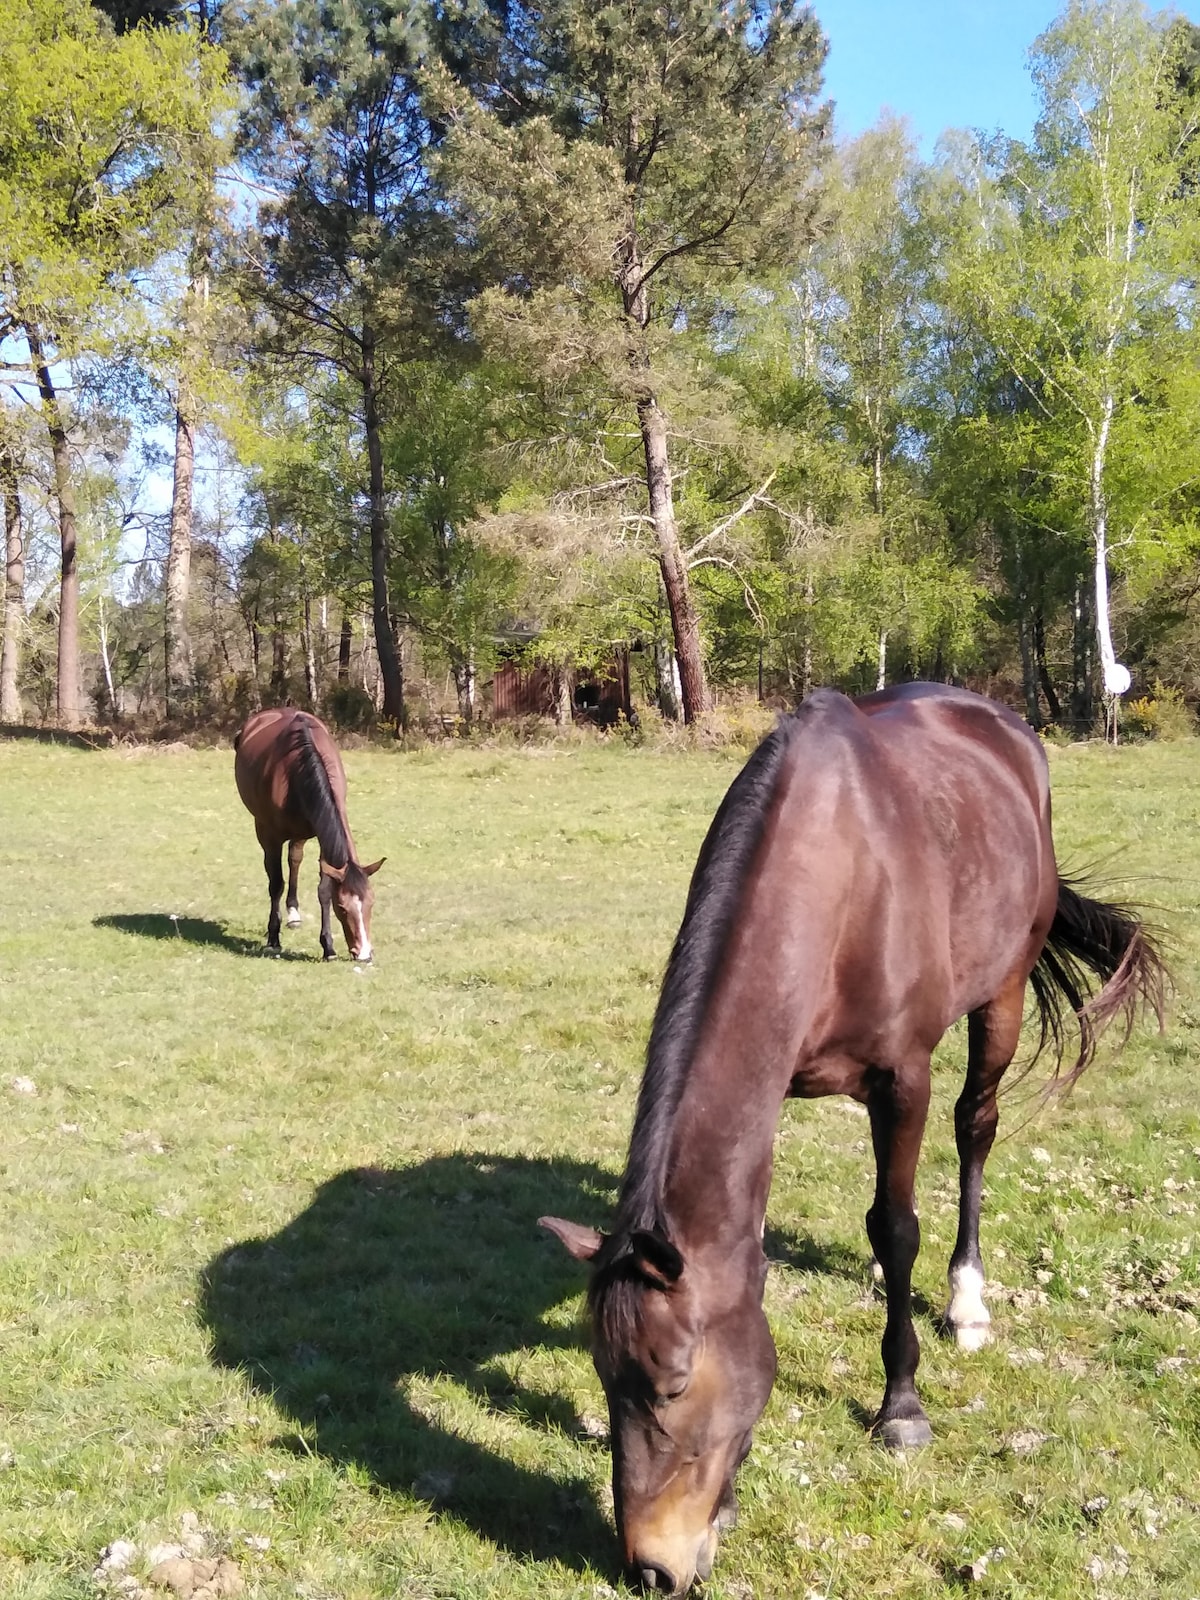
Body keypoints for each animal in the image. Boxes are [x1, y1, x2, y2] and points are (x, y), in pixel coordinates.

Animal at [232, 707, 382, 953]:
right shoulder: (272, 836)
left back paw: (294, 914)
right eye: (342, 907)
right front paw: (273, 937)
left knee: (295, 859)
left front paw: (328, 946)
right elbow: (276, 884)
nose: (363, 954)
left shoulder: (323, 837)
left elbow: (324, 889)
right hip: (263, 827)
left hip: (300, 831)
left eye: (371, 902)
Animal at [540, 681, 1171, 1593]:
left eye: (673, 1382)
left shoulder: (902, 1077)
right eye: (599, 1371)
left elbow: (898, 1224)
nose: (651, 1569)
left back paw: (965, 1298)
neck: (831, 881)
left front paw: (902, 1405)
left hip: (1003, 993)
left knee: (975, 1129)